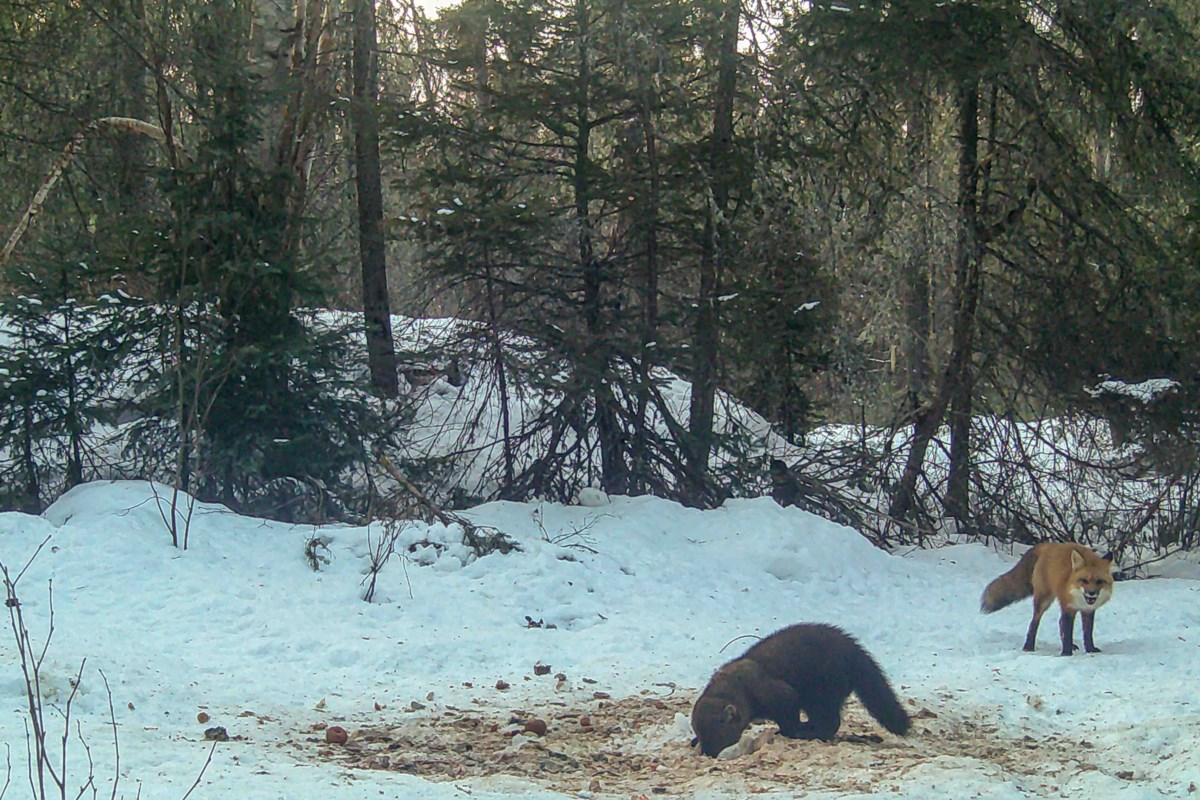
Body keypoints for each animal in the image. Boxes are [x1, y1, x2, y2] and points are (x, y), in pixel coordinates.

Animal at [691, 623, 910, 757]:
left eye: (719, 734)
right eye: (700, 733)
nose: (708, 752)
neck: (740, 682)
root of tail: (854, 650)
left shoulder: (780, 694)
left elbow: (788, 715)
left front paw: (788, 731)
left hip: (822, 691)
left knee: (831, 722)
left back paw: (807, 731)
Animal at [980, 542, 1114, 656]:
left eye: (1099, 581)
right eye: (1084, 580)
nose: (1091, 593)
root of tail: (1047, 544)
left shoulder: (1088, 610)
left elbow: (1088, 632)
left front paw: (1090, 649)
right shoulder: (1068, 607)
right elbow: (1068, 632)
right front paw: (1066, 653)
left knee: (1059, 622)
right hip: (1043, 600)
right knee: (1034, 623)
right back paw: (1028, 647)